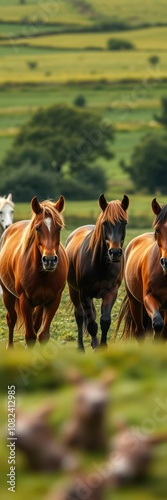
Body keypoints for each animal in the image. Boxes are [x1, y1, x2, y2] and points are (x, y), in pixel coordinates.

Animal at [0, 195, 68, 348]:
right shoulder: (25, 300)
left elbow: (42, 335)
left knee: (35, 324)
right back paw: (10, 346)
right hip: (7, 293)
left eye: (59, 228)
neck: (43, 274)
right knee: (11, 319)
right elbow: (30, 336)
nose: (49, 260)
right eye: (37, 228)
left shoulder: (54, 300)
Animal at [65, 193, 129, 350]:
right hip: (74, 291)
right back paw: (81, 347)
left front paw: (102, 346)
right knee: (80, 316)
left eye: (124, 223)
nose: (115, 253)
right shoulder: (84, 294)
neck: (100, 265)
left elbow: (104, 321)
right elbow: (91, 324)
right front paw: (94, 347)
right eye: (105, 223)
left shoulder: (111, 292)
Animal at [115, 197, 167, 342]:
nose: (166, 262)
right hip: (135, 302)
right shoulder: (148, 297)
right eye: (157, 230)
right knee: (139, 331)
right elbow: (157, 324)